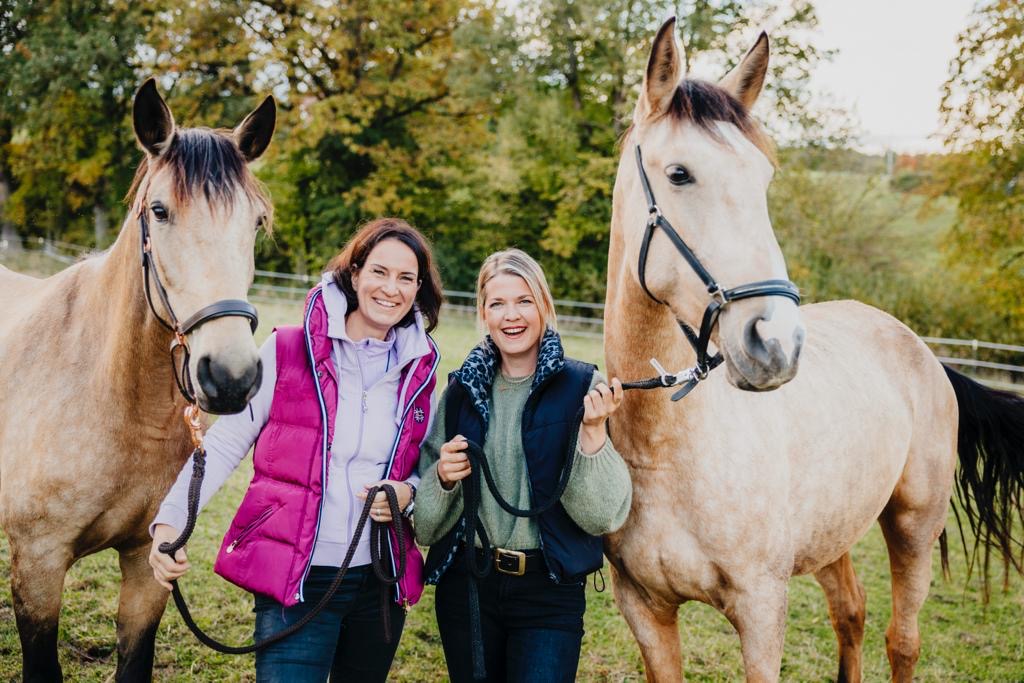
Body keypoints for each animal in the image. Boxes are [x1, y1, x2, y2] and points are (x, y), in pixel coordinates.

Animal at [602, 17, 1024, 683]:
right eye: (679, 174)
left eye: (764, 179)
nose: (776, 344)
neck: (666, 449)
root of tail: (923, 352)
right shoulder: (645, 609)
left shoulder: (760, 611)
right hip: (835, 532)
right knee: (849, 614)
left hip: (913, 526)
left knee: (902, 641)